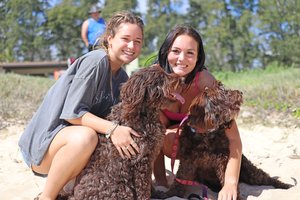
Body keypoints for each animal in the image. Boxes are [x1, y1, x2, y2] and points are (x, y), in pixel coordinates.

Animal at [66, 65, 183, 199]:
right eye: (161, 78)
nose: (182, 79)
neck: (144, 114)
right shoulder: (140, 161)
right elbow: (143, 187)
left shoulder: (148, 158)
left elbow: (149, 184)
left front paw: (157, 194)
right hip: (120, 187)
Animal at [159, 81, 292, 200]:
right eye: (223, 91)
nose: (241, 92)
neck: (206, 134)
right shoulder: (188, 162)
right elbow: (179, 180)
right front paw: (169, 194)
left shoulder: (223, 161)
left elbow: (227, 179)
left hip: (250, 171)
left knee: (266, 178)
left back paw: (286, 186)